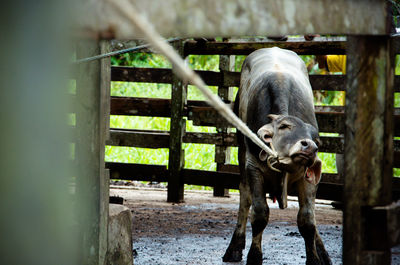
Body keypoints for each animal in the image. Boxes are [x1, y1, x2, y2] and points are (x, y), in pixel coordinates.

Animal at [223, 48, 332, 264]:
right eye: (284, 126)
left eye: (314, 136)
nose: (309, 147)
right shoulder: (253, 167)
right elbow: (259, 214)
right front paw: (254, 256)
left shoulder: (307, 176)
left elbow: (308, 219)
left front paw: (315, 258)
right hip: (241, 151)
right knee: (244, 196)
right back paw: (234, 248)